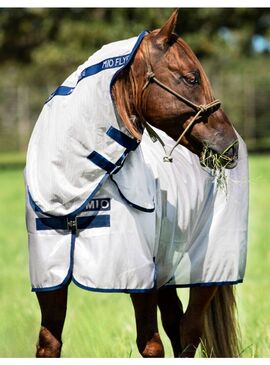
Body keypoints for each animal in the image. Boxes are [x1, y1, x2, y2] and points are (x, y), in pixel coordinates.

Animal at [25, 9, 249, 356]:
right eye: (191, 77)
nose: (229, 147)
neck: (73, 189)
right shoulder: (50, 281)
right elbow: (49, 344)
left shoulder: (139, 279)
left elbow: (151, 345)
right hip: (167, 269)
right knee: (177, 324)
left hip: (210, 267)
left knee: (189, 329)